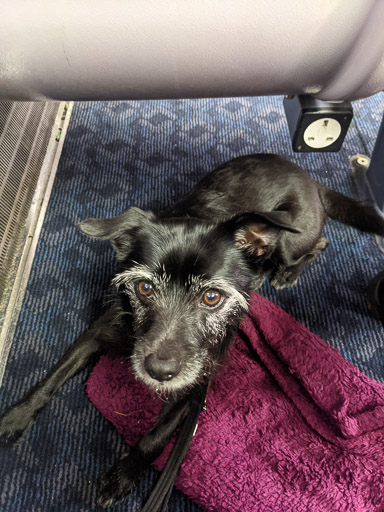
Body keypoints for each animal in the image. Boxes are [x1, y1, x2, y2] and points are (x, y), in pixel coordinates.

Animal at [0, 154, 384, 506]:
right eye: (144, 288)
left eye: (212, 296)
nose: (159, 371)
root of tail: (306, 176)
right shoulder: (99, 330)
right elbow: (51, 378)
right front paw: (15, 418)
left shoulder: (197, 381)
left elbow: (156, 438)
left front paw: (124, 474)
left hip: (293, 239)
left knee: (316, 245)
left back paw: (283, 274)